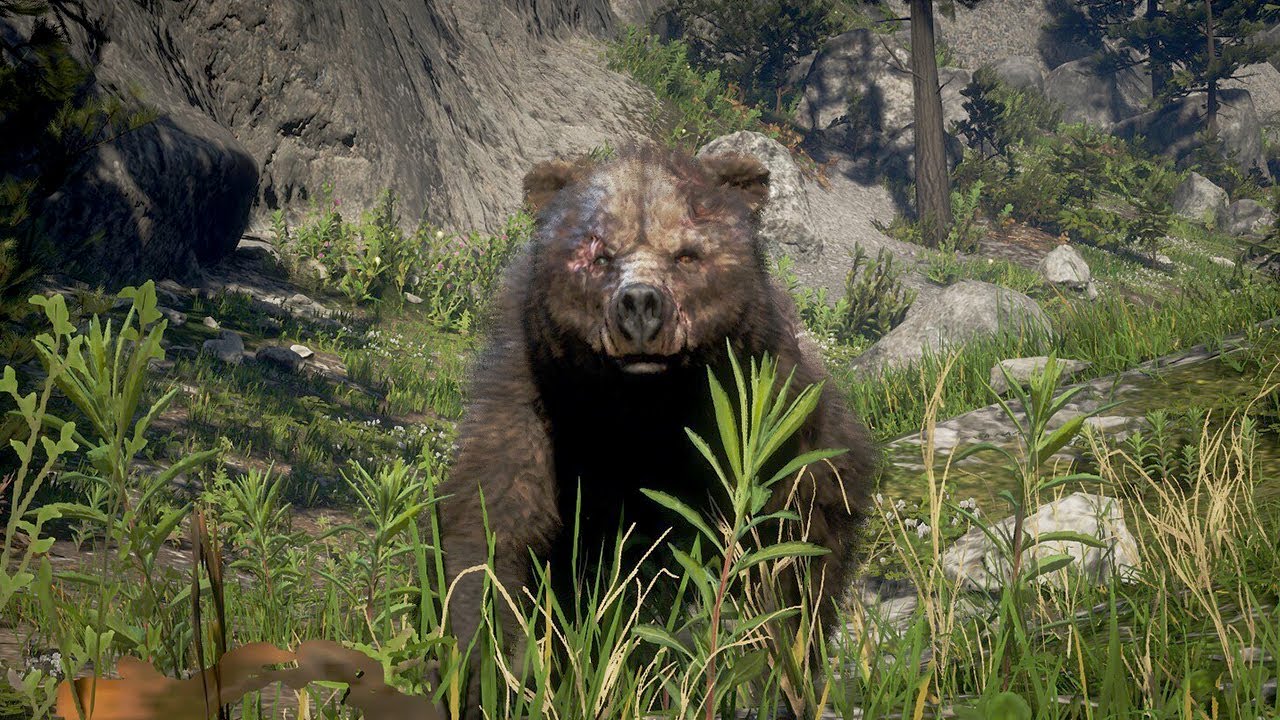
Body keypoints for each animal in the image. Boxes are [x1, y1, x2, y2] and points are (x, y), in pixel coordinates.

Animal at [436, 143, 876, 712]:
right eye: (600, 255)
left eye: (686, 255)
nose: (641, 305)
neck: (644, 409)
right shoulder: (531, 396)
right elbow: (494, 523)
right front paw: (490, 670)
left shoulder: (769, 404)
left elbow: (786, 545)